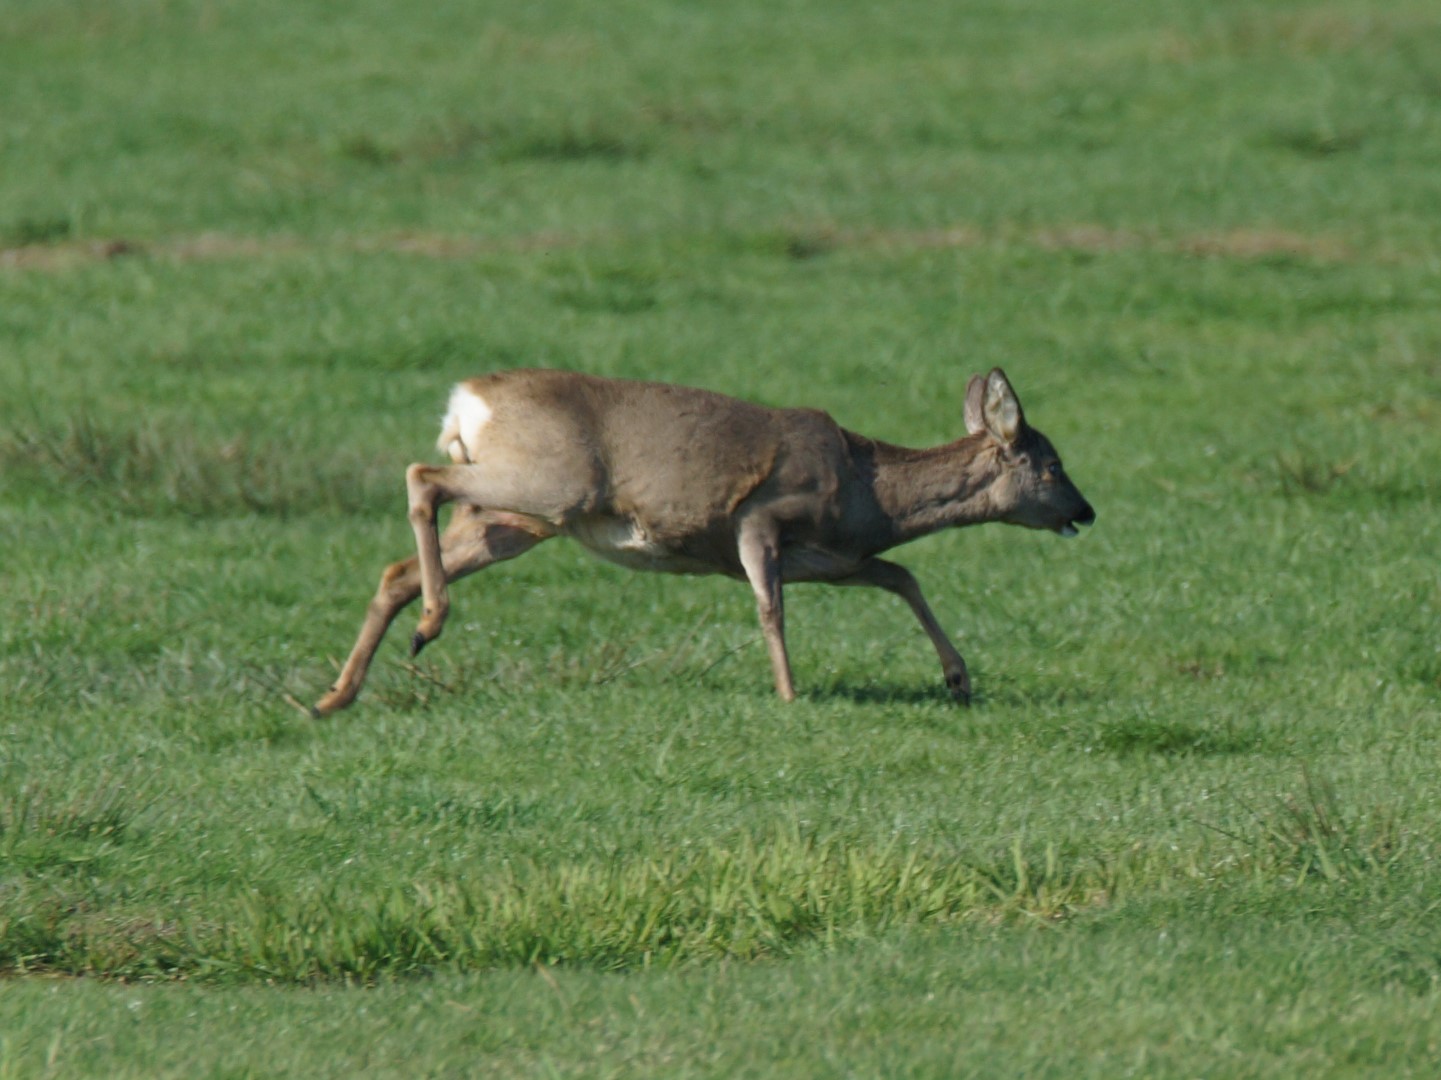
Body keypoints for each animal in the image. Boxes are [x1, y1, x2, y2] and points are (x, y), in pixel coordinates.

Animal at [311, 367, 1094, 716]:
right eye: (1052, 465)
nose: (1085, 512)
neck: (865, 486)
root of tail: (468, 398)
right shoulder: (760, 518)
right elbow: (771, 608)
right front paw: (789, 694)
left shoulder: (830, 554)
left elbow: (901, 576)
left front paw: (958, 679)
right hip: (552, 483)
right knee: (421, 477)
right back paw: (428, 625)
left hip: (512, 519)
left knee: (395, 568)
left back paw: (337, 693)